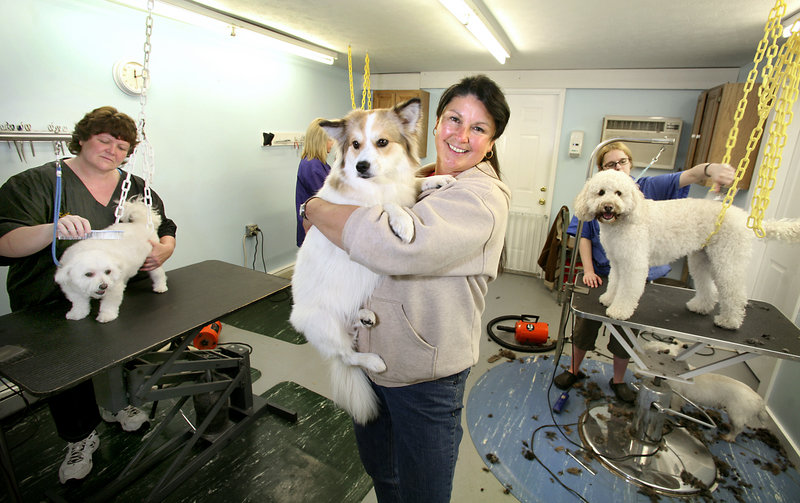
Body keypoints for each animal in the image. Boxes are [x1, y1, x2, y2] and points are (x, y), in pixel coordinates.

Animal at [572, 169, 800, 330]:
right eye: (601, 192)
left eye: (619, 193)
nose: (608, 206)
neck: (624, 221)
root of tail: (745, 218)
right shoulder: (618, 262)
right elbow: (615, 283)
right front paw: (609, 299)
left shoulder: (634, 263)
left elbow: (628, 290)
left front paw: (619, 310)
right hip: (701, 259)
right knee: (708, 288)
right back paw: (700, 307)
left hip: (728, 260)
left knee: (735, 293)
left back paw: (729, 321)